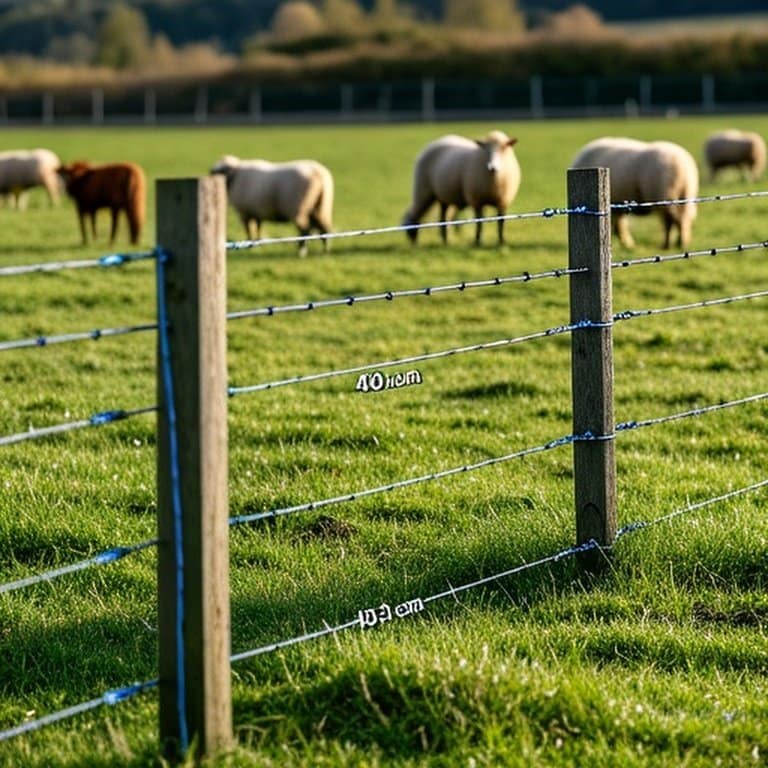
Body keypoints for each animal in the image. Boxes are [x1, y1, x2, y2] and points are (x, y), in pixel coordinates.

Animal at [570, 137, 699, 250]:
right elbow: (619, 226)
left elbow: (619, 227)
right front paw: (626, 244)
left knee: (673, 221)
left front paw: (626, 244)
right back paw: (680, 243)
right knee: (683, 219)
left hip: (666, 196)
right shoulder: (617, 204)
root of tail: (682, 168)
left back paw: (671, 244)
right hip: (682, 196)